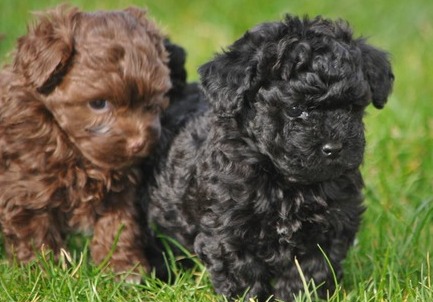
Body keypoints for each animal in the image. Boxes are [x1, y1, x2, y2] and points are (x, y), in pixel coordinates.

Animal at [0, 5, 170, 282]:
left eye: (150, 102)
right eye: (98, 103)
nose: (138, 143)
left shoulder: (121, 187)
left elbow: (119, 226)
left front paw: (124, 270)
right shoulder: (26, 187)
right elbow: (35, 234)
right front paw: (42, 274)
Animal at [147, 15, 394, 300]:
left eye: (352, 107)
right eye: (295, 109)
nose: (333, 147)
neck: (284, 181)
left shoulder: (331, 225)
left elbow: (311, 270)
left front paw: (299, 295)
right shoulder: (228, 231)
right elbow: (242, 275)